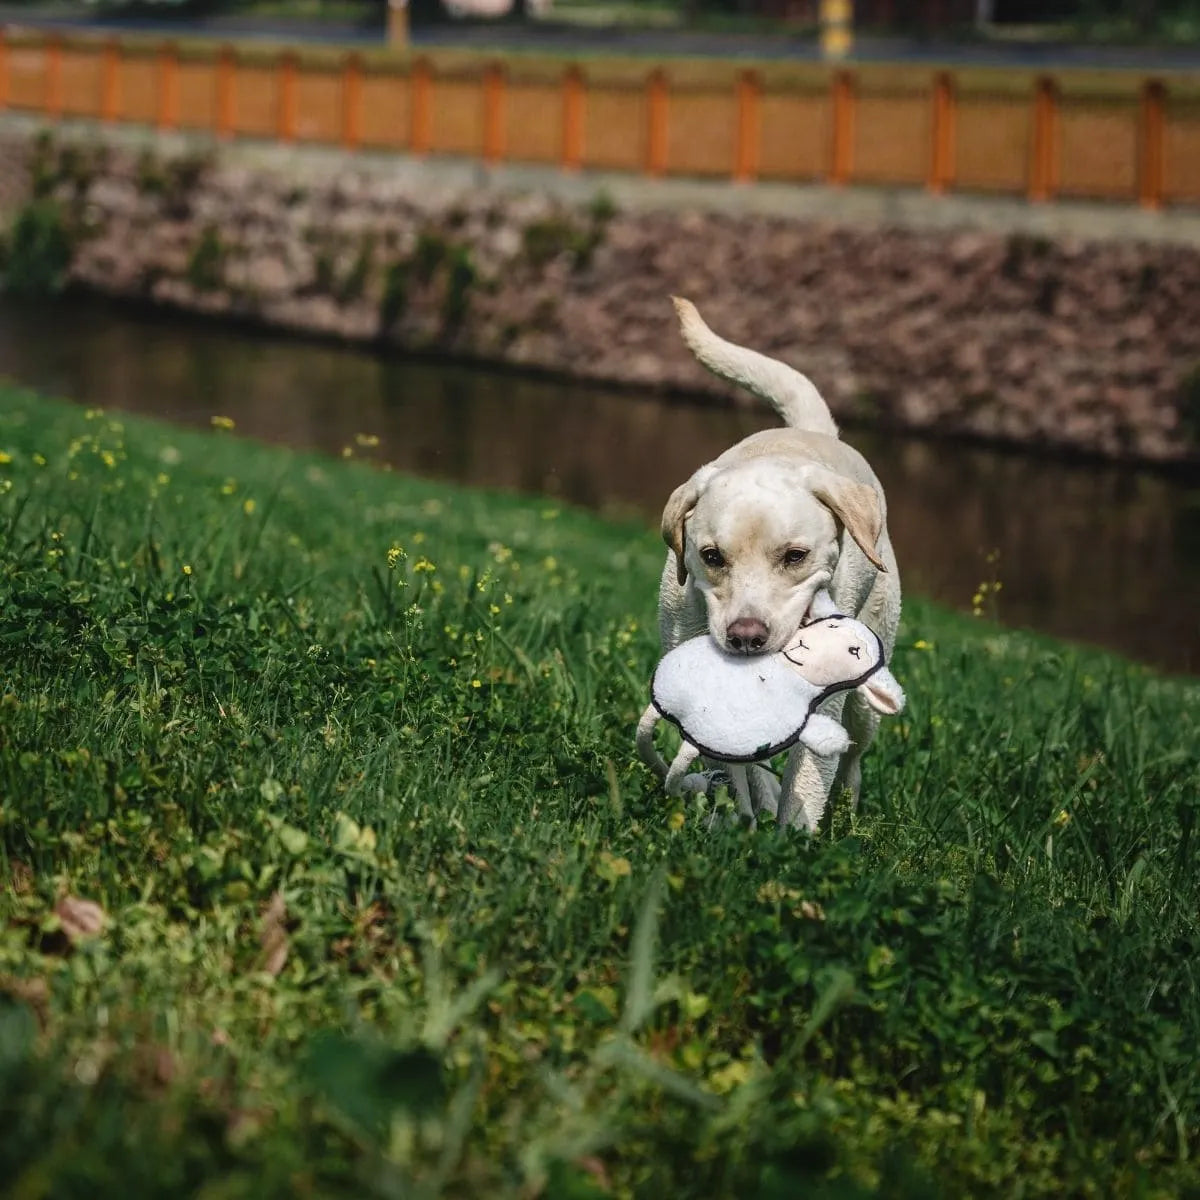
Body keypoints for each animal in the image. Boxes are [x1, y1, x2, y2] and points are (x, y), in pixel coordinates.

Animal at [638, 297, 902, 832]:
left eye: (795, 557)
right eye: (712, 557)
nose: (746, 637)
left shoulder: (831, 701)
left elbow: (808, 780)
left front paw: (791, 837)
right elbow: (739, 758)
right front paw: (753, 806)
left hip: (869, 686)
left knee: (854, 757)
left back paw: (849, 812)